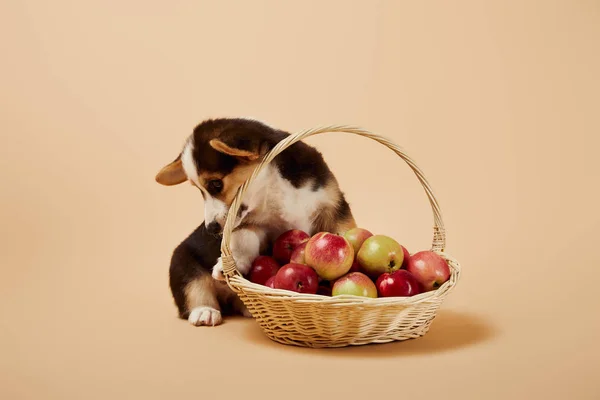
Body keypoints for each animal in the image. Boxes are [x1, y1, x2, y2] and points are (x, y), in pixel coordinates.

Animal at [155, 118, 356, 324]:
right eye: (199, 190)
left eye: (216, 183)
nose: (210, 229)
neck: (270, 188)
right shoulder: (252, 225)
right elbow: (244, 239)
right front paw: (231, 264)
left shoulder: (334, 206)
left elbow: (346, 229)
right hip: (181, 261)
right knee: (193, 288)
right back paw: (205, 312)